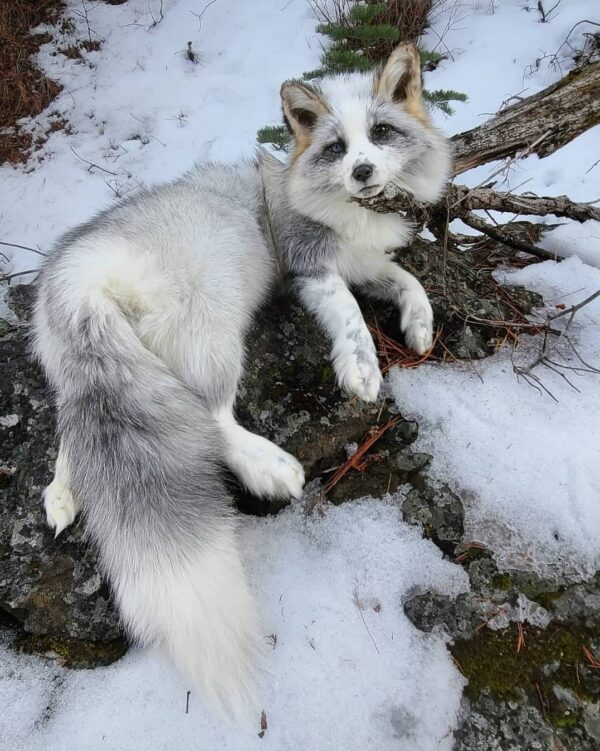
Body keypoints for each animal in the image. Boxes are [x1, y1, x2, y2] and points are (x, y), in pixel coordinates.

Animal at [33, 42, 451, 717]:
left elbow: (409, 281)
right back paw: (268, 466)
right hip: (214, 331)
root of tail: (81, 280)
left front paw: (417, 325)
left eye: (382, 134)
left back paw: (64, 495)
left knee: (76, 429)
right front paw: (362, 367)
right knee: (207, 417)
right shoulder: (311, 265)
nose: (363, 172)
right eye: (337, 147)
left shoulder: (365, 262)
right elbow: (351, 314)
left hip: (90, 373)